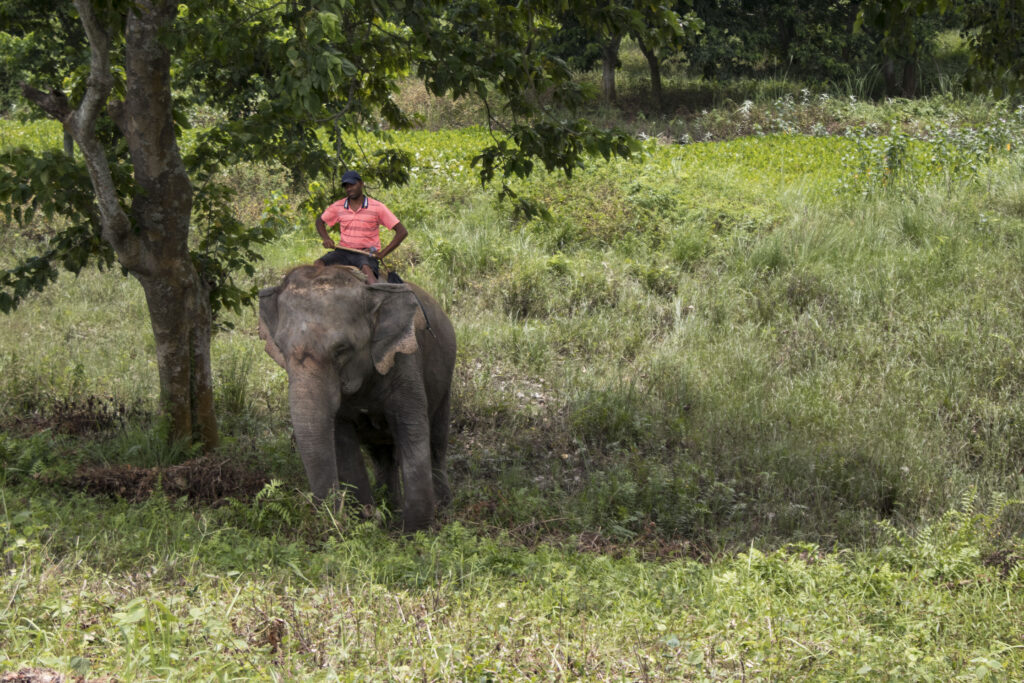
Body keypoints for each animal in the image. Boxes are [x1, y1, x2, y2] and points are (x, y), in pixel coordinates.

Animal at [258, 263, 456, 531]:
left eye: (341, 350)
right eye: (280, 349)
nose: (337, 516)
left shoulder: (404, 362)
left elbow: (412, 430)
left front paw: (416, 531)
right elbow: (342, 440)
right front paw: (367, 520)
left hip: (445, 377)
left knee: (436, 442)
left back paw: (440, 508)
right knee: (382, 455)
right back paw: (390, 507)